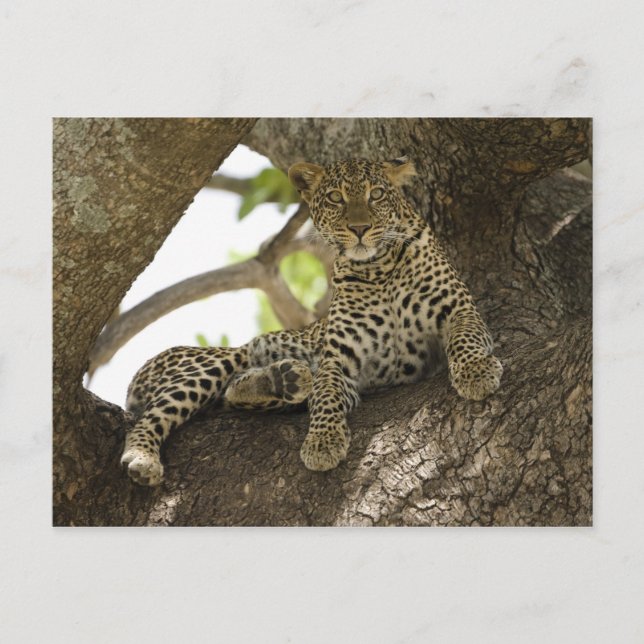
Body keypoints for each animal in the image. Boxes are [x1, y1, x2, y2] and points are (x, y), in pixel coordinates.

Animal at [120, 156, 503, 486]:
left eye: (376, 194)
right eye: (335, 198)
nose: (360, 228)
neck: (377, 270)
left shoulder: (458, 308)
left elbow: (465, 338)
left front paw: (476, 373)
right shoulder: (339, 358)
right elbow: (326, 394)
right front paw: (322, 441)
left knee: (235, 392)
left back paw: (284, 379)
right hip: (213, 361)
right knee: (156, 414)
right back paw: (143, 457)